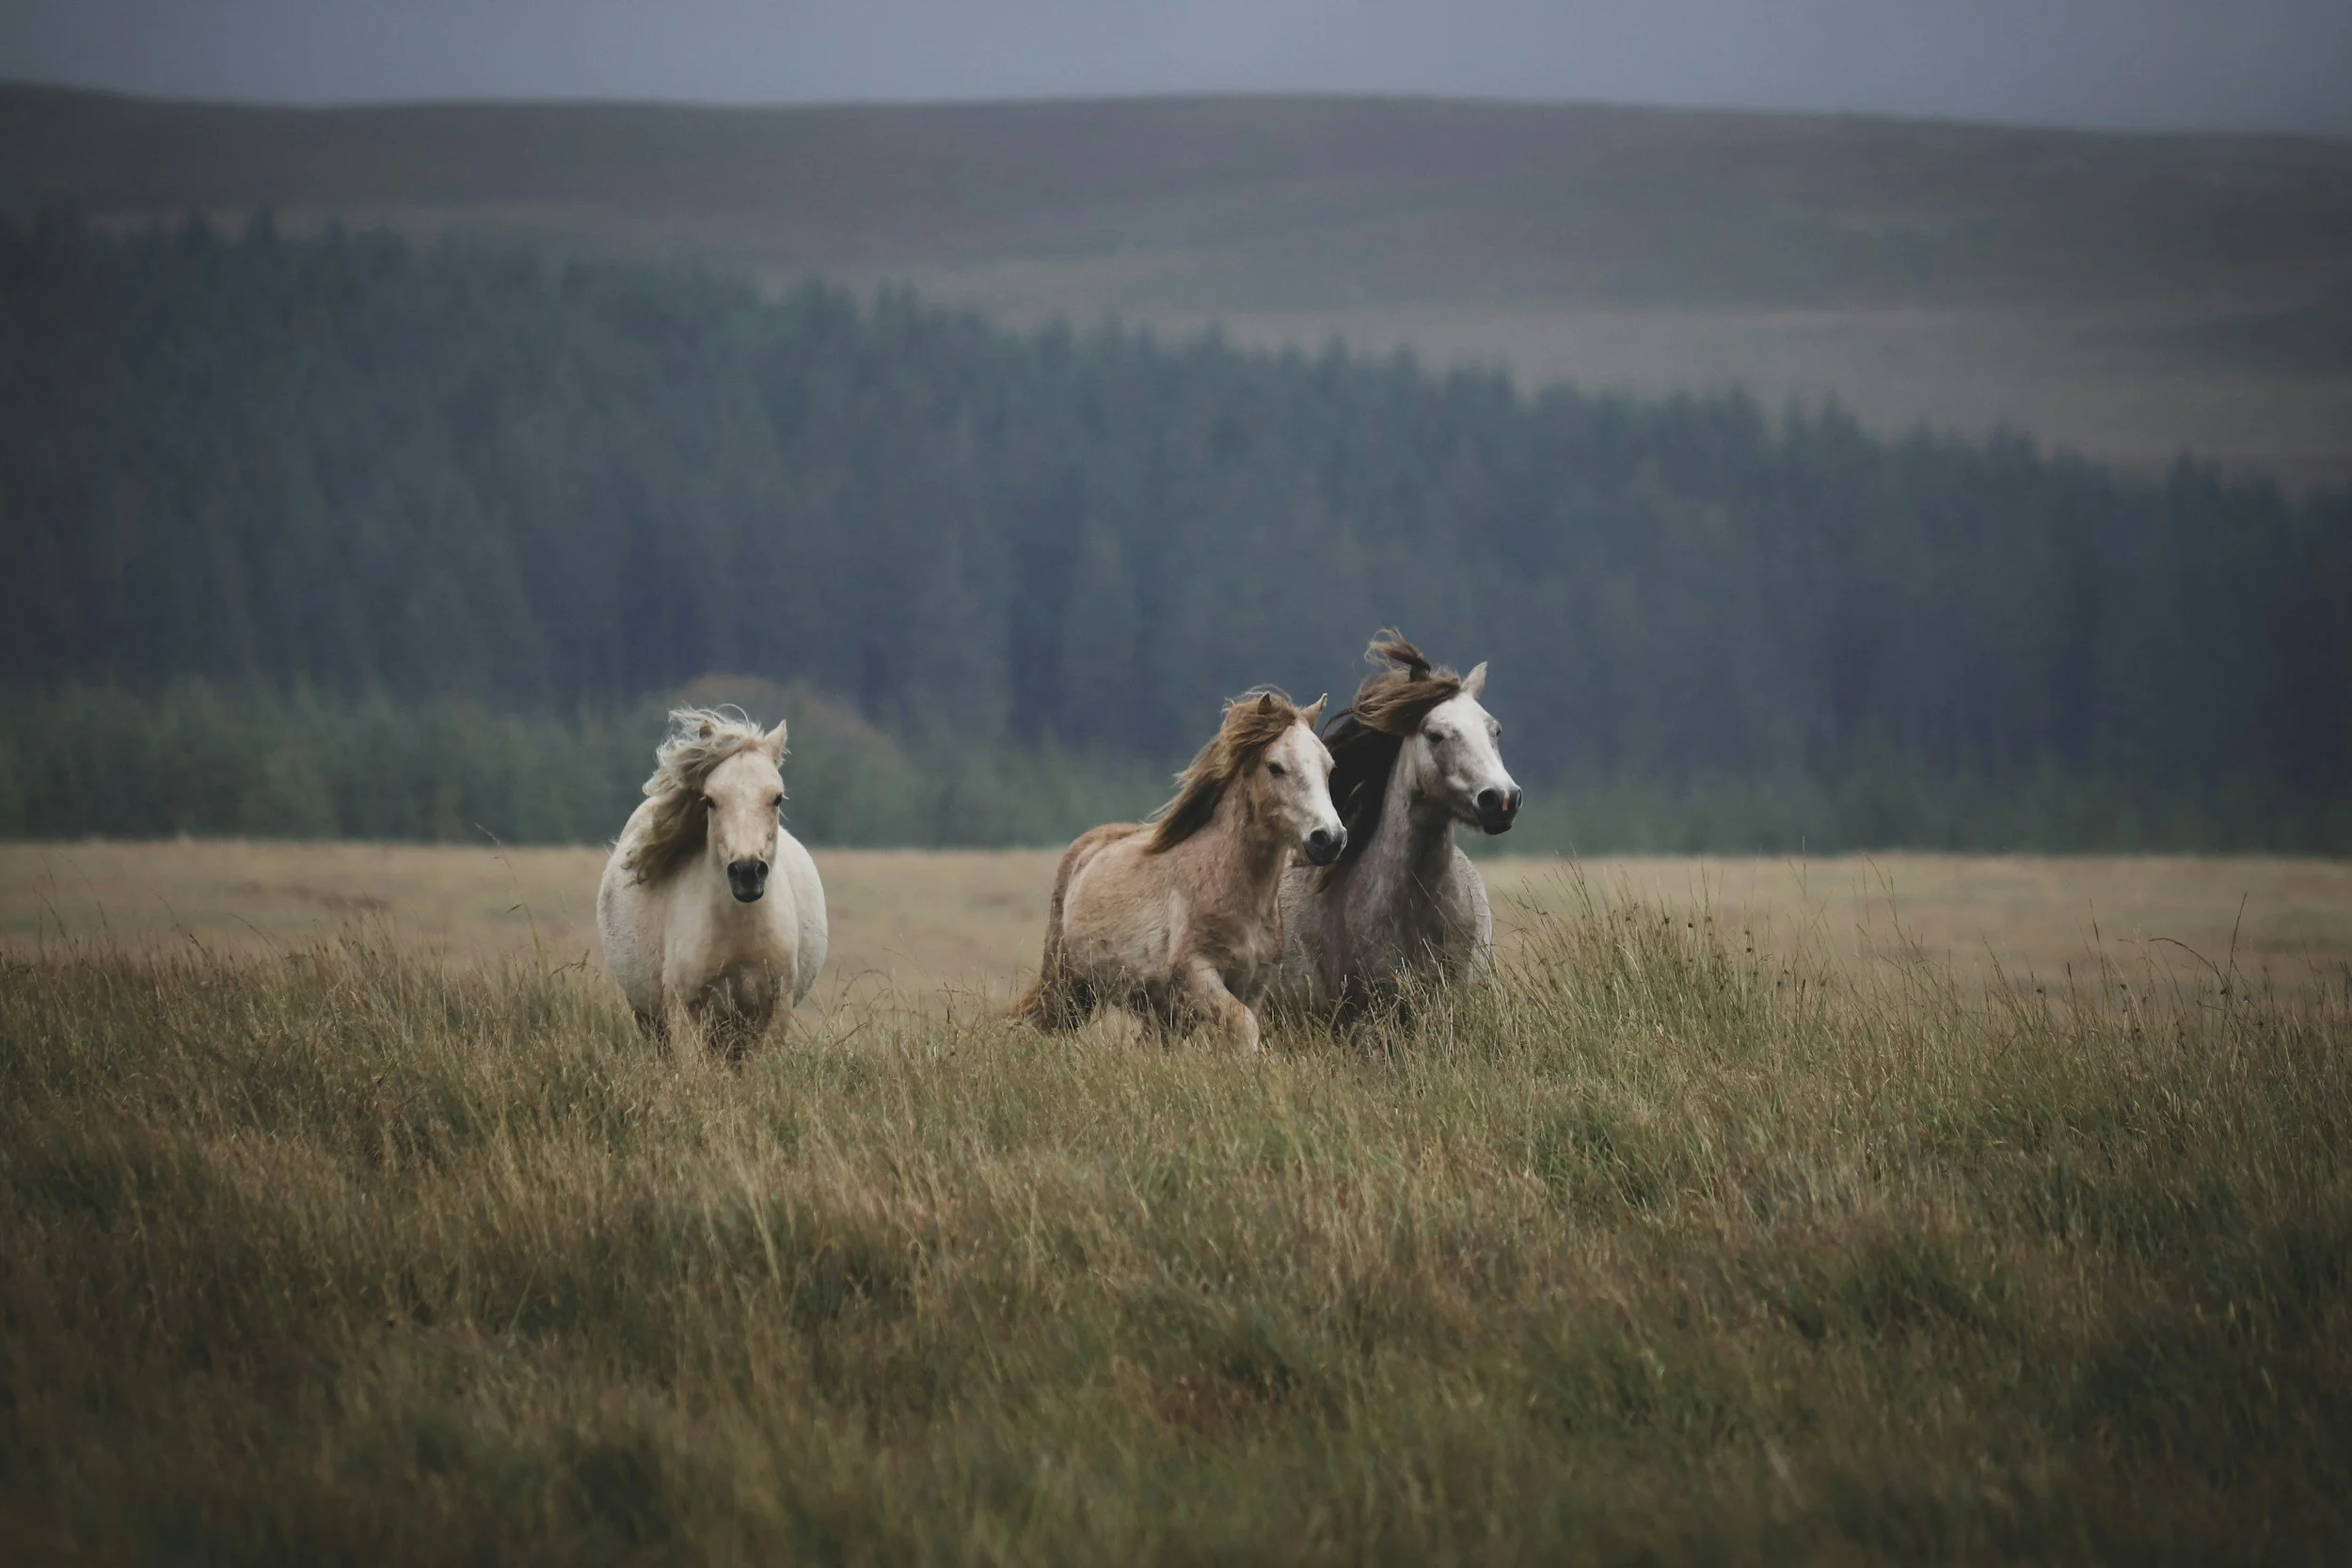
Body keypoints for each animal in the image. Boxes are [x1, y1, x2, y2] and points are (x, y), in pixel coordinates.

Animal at [597, 707, 828, 1049]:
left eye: (777, 798)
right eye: (710, 800)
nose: (747, 872)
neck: (739, 932)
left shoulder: (774, 1010)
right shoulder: (683, 1012)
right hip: (648, 1016)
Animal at [1017, 689, 1344, 1053]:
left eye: (1329, 767)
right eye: (1275, 767)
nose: (1329, 838)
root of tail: (1084, 849)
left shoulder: (1255, 983)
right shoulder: (1196, 975)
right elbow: (1243, 1025)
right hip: (1068, 987)